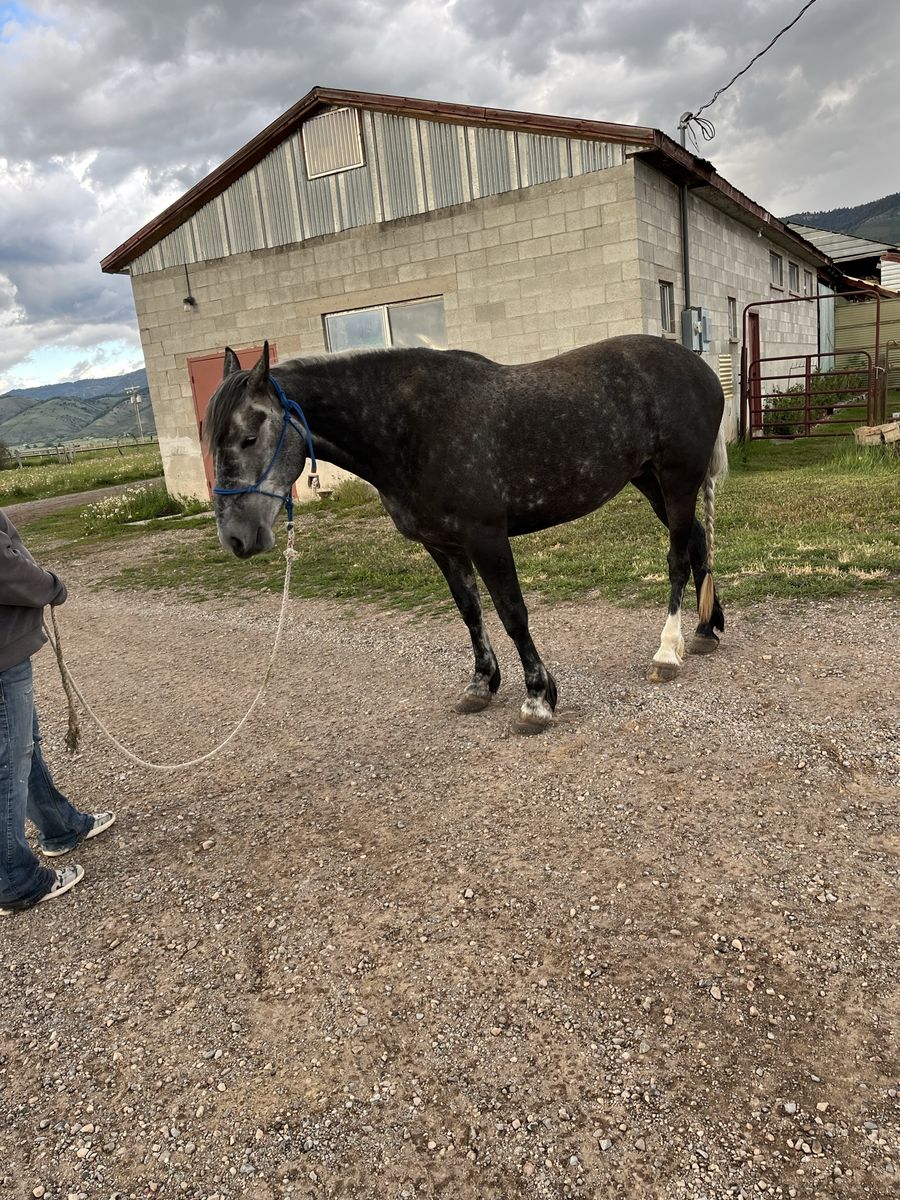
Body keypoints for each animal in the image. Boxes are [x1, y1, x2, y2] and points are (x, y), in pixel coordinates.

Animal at [205, 334, 727, 733]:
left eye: (249, 436)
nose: (237, 538)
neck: (409, 429)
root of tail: (699, 368)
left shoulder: (486, 538)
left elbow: (513, 614)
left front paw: (537, 699)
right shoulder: (442, 545)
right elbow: (471, 612)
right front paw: (481, 685)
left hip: (677, 480)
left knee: (678, 558)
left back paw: (668, 652)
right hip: (650, 482)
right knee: (699, 544)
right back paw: (706, 631)